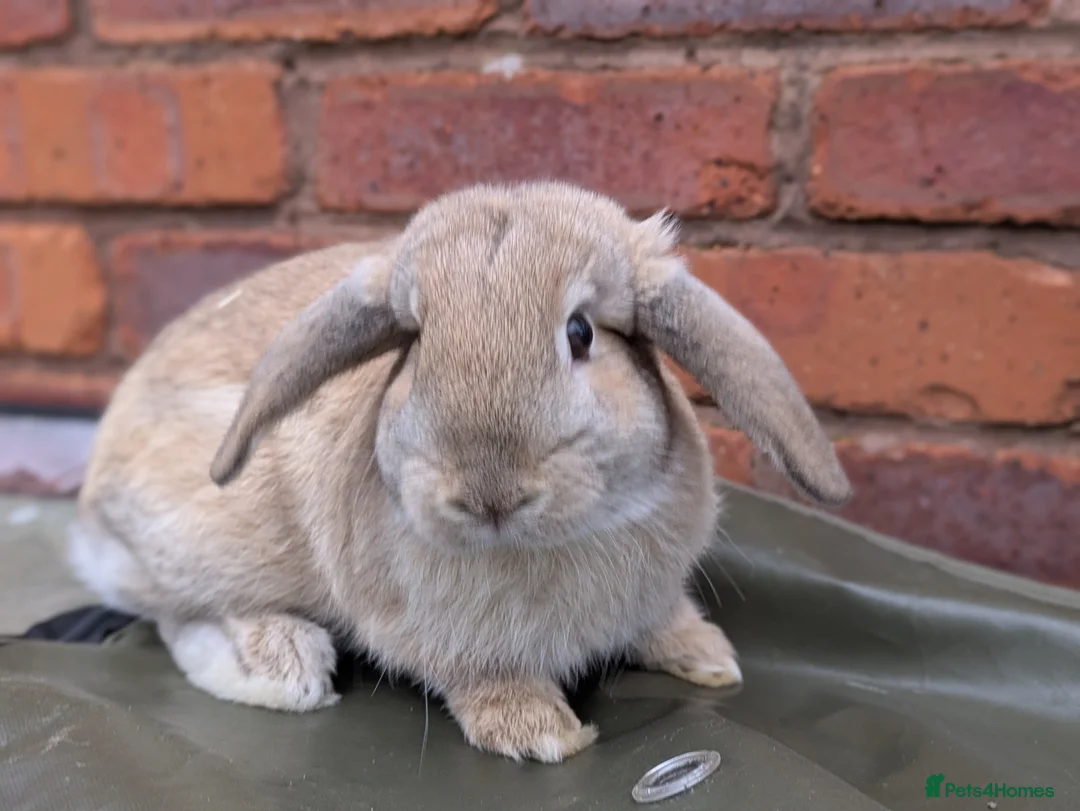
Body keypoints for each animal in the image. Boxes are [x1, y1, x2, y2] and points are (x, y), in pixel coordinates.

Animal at [69, 180, 851, 763]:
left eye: (580, 333)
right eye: (414, 344)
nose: (488, 491)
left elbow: (663, 618)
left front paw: (709, 657)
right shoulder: (433, 634)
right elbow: (479, 674)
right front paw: (541, 731)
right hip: (206, 536)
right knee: (175, 613)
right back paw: (284, 665)